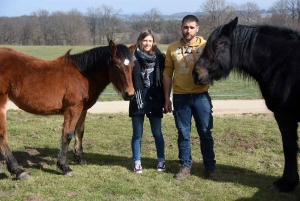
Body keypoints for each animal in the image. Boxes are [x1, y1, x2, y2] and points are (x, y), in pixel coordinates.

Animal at [0, 40, 134, 179]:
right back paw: (18, 170)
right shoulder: (73, 109)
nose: (129, 94)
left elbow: (79, 132)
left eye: (133, 65)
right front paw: (64, 166)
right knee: (2, 136)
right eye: (116, 66)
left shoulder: (82, 109)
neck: (83, 75)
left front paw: (79, 158)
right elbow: (67, 134)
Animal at [192, 17, 300, 193]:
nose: (196, 73)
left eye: (217, 44)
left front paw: (286, 183)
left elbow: (289, 147)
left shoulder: (285, 117)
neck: (283, 63)